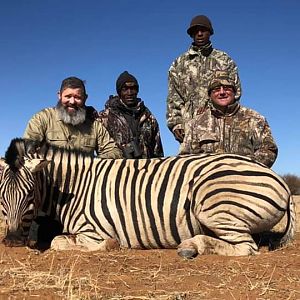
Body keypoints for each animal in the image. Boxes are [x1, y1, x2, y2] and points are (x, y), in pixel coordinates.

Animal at [0, 138, 296, 258]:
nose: (12, 241)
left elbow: (58, 241)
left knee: (247, 248)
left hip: (212, 203)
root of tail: (279, 178)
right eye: (1, 197)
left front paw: (111, 246)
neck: (76, 187)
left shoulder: (93, 231)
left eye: (30, 195)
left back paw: (191, 246)